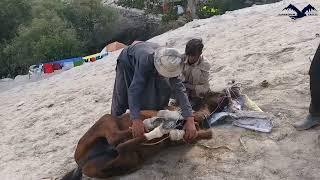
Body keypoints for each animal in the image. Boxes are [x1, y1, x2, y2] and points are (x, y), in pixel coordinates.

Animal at [62, 90, 230, 179]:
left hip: (130, 161)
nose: (228, 93)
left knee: (121, 146)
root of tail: (81, 164)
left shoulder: (187, 137)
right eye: (214, 93)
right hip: (106, 119)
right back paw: (151, 128)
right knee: (119, 137)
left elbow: (207, 132)